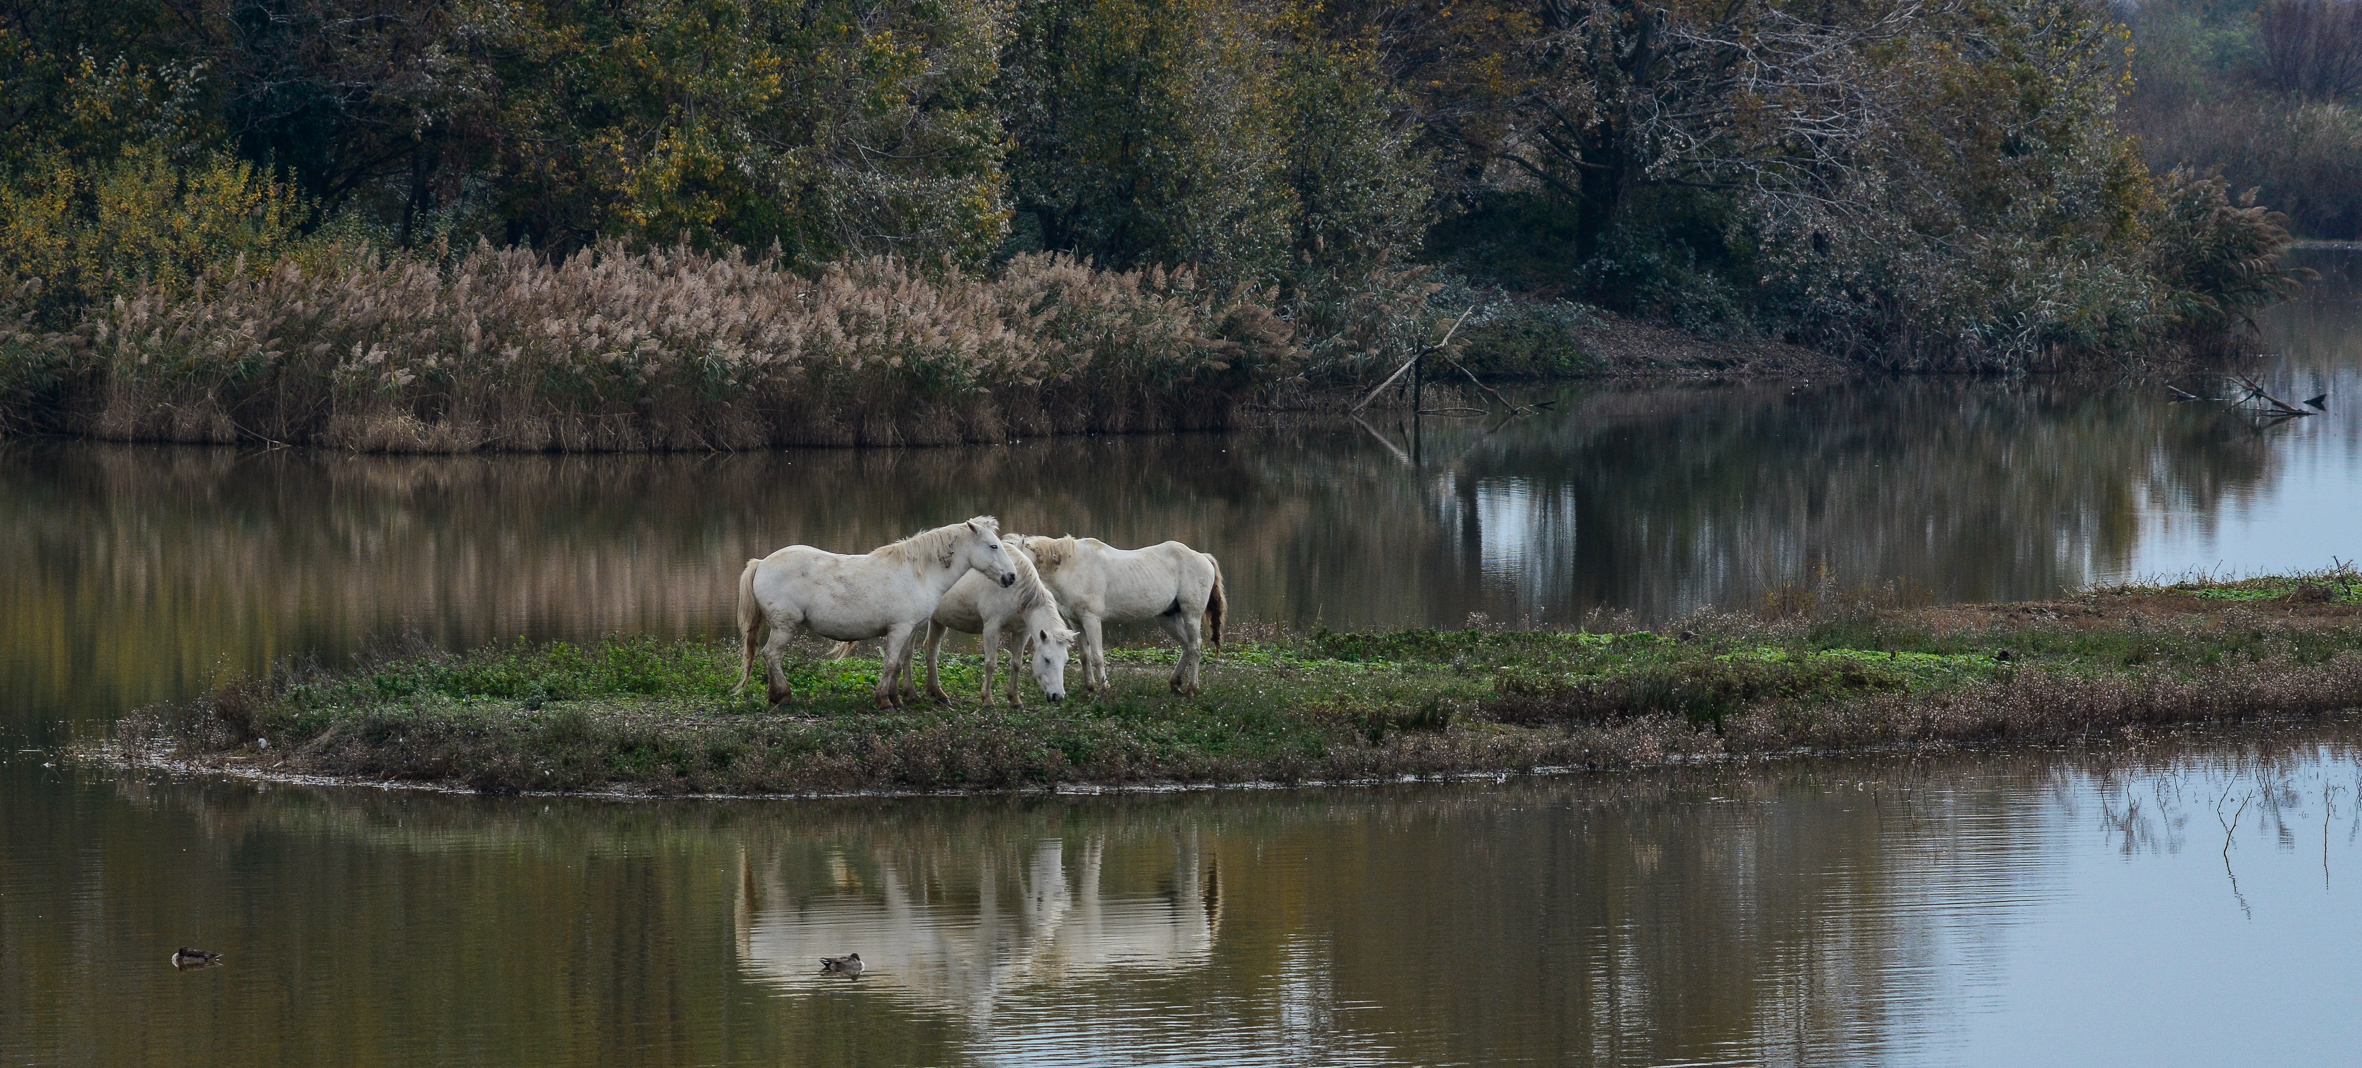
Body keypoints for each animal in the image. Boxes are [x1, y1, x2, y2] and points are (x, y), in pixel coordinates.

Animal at [732, 517, 1020, 708]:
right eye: (993, 546)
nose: (1011, 577)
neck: (919, 573)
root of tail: (761, 562)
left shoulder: (909, 629)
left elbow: (900, 662)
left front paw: (896, 697)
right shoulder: (899, 628)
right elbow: (890, 663)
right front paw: (884, 700)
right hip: (785, 626)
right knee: (771, 655)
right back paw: (782, 695)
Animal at [831, 538, 1081, 704]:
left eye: (1065, 660)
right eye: (1047, 659)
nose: (1058, 696)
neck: (1017, 587)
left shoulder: (1022, 631)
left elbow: (1016, 664)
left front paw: (1014, 699)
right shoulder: (992, 626)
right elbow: (990, 663)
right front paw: (987, 699)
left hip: (938, 621)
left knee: (930, 651)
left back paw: (936, 693)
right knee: (908, 656)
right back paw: (910, 693)